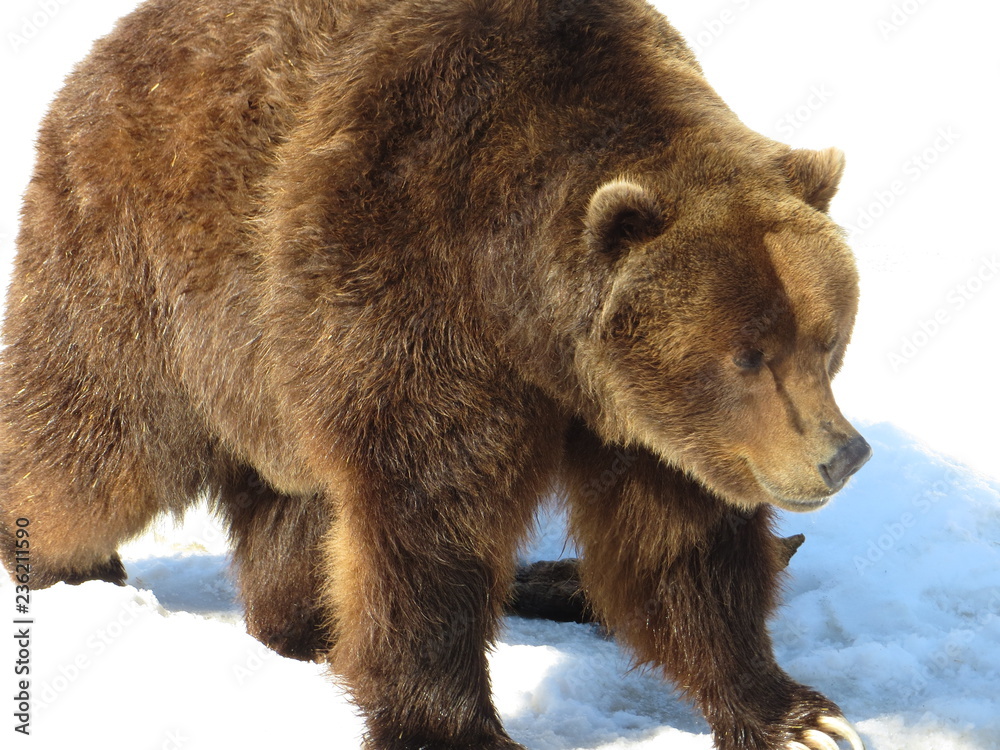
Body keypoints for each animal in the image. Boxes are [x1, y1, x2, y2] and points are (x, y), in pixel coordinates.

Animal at [0, 0, 872, 748]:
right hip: (143, 279)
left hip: (271, 375)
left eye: (826, 340)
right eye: (747, 354)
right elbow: (429, 522)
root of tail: (100, 56)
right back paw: (61, 564)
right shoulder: (410, 288)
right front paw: (456, 729)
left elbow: (679, 546)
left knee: (296, 515)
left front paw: (799, 717)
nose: (841, 455)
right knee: (89, 447)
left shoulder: (645, 422)